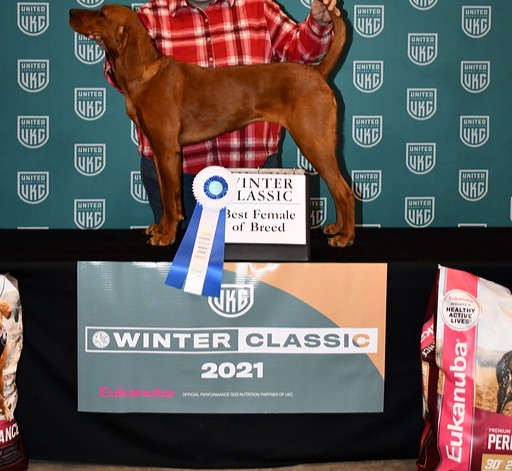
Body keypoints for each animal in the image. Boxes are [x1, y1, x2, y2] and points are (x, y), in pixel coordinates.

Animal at [69, 4, 355, 247]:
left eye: (102, 14)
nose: (71, 11)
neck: (144, 73)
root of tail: (317, 72)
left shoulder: (166, 149)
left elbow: (168, 200)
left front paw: (166, 235)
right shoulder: (164, 153)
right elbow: (169, 196)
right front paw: (162, 228)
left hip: (313, 141)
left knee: (344, 190)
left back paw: (345, 236)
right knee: (338, 188)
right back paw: (337, 228)